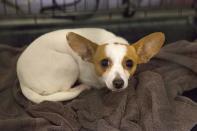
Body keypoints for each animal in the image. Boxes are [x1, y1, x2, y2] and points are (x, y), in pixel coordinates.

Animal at [16, 27, 165, 103]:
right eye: (104, 63)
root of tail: (21, 79)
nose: (118, 83)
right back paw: (81, 88)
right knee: (63, 90)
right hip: (69, 64)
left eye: (129, 63)